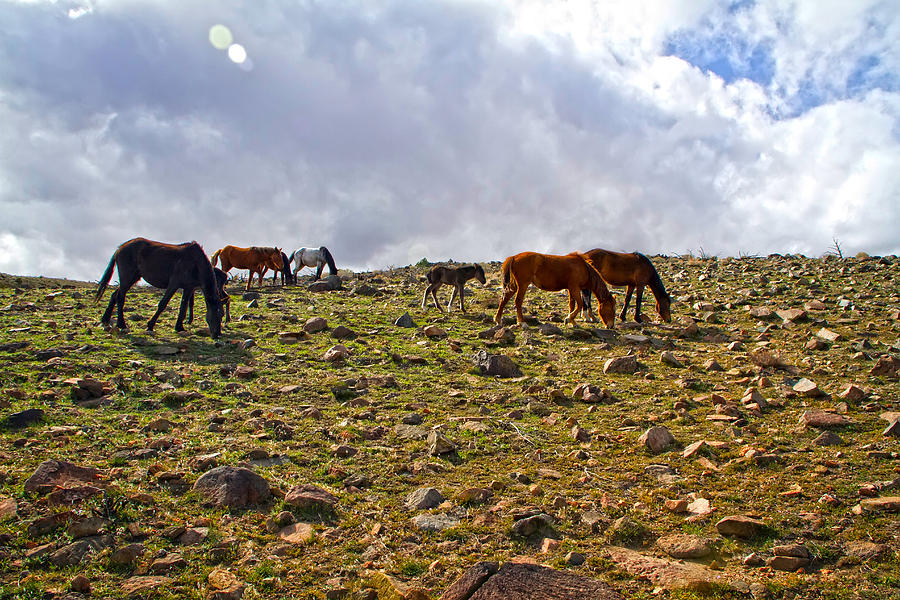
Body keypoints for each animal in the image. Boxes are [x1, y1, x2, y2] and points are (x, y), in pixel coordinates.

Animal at [95, 237, 223, 338]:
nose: (217, 334)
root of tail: (120, 249)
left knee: (115, 295)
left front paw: (179, 327)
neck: (195, 263)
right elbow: (163, 304)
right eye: (216, 313)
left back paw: (105, 320)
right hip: (127, 278)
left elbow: (183, 307)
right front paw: (150, 325)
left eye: (222, 315)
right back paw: (122, 324)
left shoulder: (188, 288)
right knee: (120, 297)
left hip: (132, 278)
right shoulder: (174, 284)